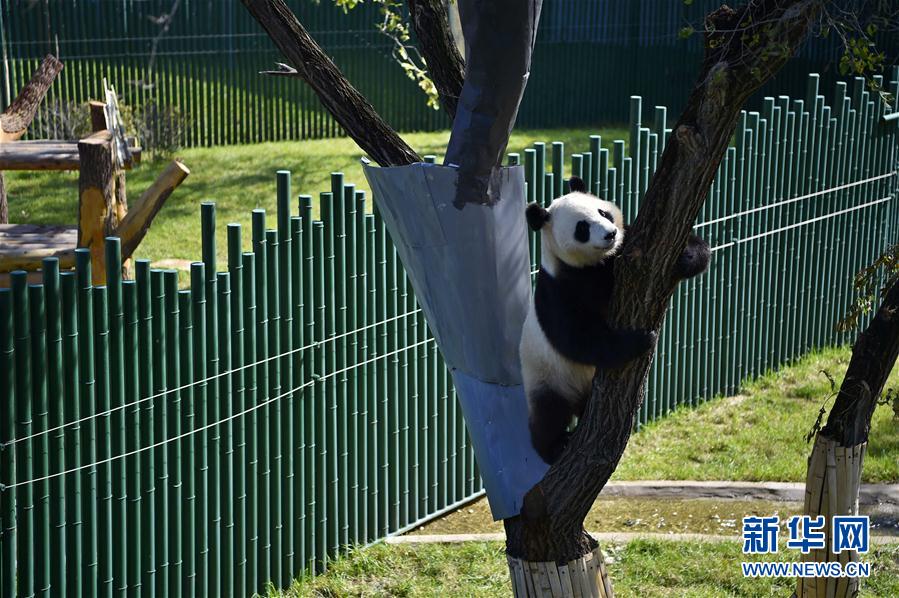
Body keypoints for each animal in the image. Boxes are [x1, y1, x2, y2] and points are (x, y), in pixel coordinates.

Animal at [520, 176, 712, 466]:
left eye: (603, 212)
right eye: (582, 228)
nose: (610, 234)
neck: (599, 261)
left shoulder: (628, 241)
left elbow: (695, 247)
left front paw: (685, 258)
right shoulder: (559, 289)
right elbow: (579, 338)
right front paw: (641, 340)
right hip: (547, 376)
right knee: (548, 414)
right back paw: (554, 447)